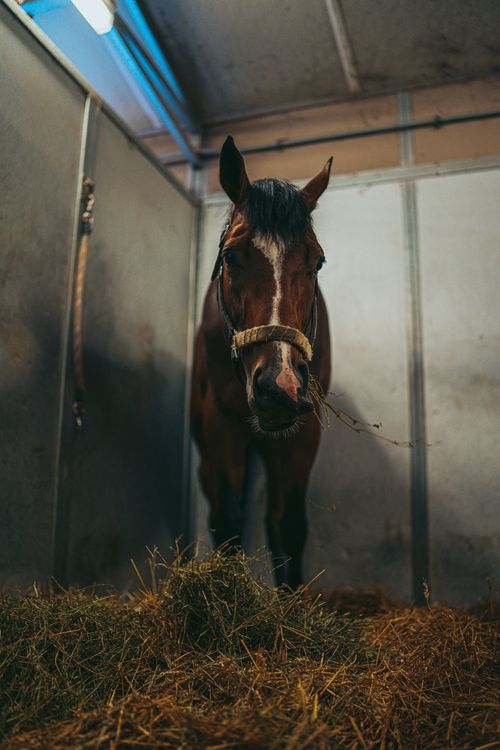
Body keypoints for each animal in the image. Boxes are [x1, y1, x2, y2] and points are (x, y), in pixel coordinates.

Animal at [190, 136, 332, 587]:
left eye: (318, 261)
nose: (280, 384)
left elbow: (289, 524)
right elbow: (228, 524)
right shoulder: (222, 428)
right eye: (230, 256)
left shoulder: (304, 433)